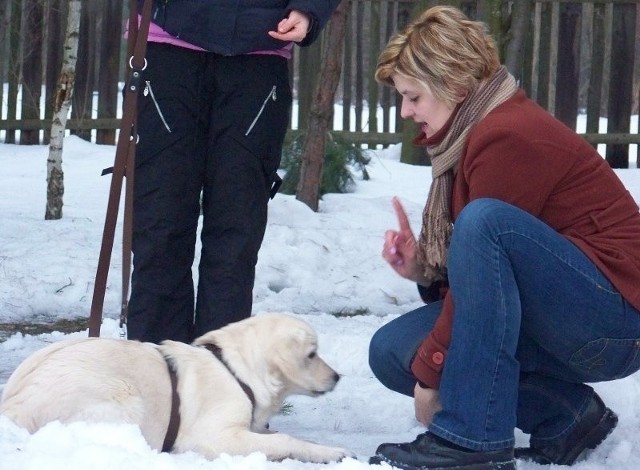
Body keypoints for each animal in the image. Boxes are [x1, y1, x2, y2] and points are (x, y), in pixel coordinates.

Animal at [0, 312, 352, 462]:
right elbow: (284, 440)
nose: (338, 377)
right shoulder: (214, 436)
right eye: (311, 354)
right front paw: (331, 453)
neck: (236, 371)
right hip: (126, 396)